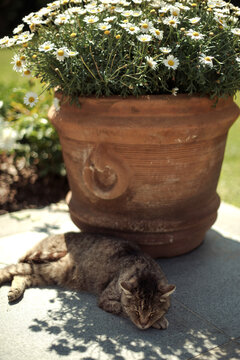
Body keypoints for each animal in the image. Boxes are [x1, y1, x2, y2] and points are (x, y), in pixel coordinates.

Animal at [0, 232, 176, 330]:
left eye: (151, 312)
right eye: (137, 311)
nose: (144, 324)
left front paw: (158, 319)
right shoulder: (105, 299)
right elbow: (122, 309)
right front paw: (159, 321)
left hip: (50, 274)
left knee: (21, 274)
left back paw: (14, 291)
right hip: (49, 264)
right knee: (17, 268)